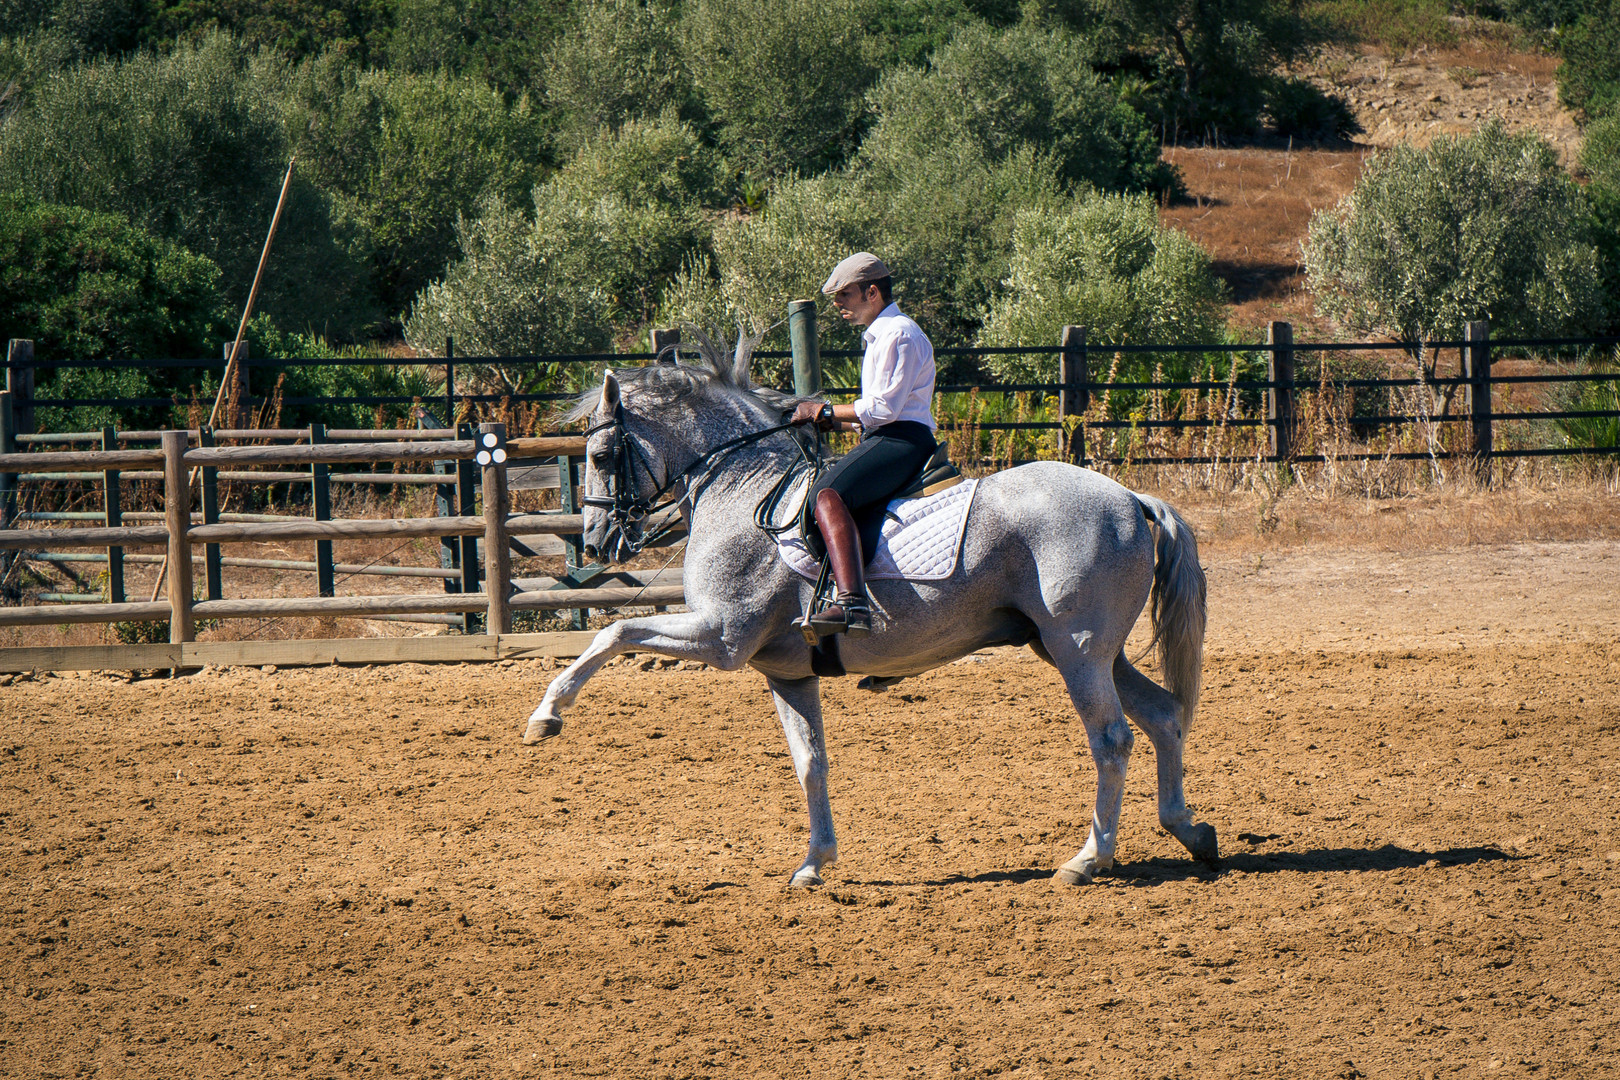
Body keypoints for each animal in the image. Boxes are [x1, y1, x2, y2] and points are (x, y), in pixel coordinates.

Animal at [521, 344, 1218, 887]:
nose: (596, 541)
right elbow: (810, 762)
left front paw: (546, 715)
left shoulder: (721, 638)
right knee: (1162, 716)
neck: (740, 489)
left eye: (602, 457)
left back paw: (1088, 859)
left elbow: (614, 630)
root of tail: (1129, 495)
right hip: (1082, 649)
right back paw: (1190, 831)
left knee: (1113, 738)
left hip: (1078, 650)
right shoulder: (786, 672)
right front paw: (814, 863)